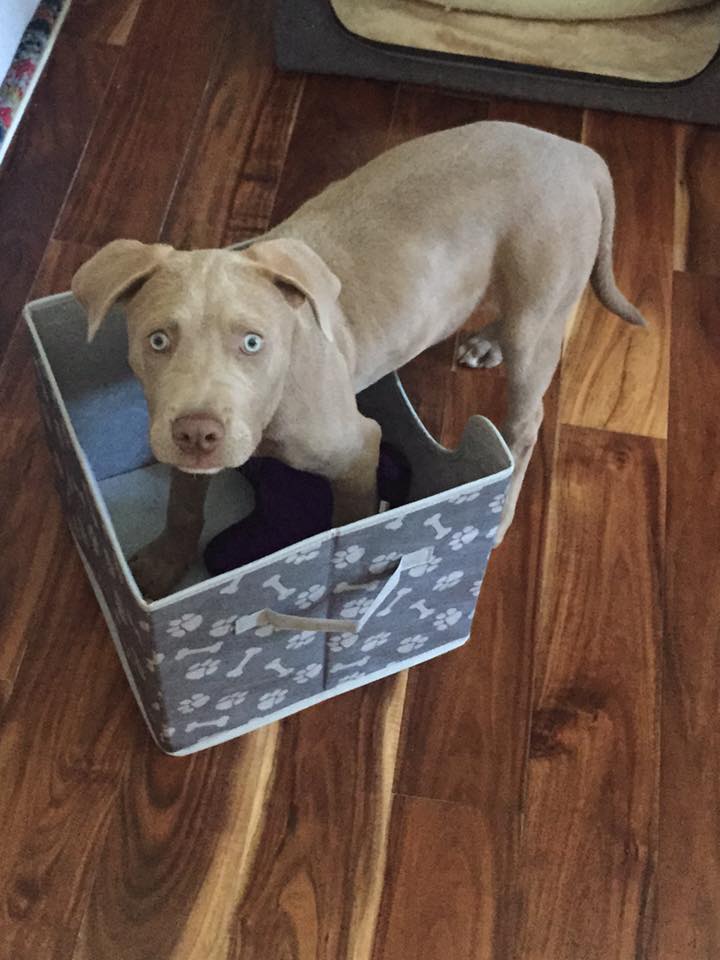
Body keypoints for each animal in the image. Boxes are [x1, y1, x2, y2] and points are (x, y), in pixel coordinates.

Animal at [73, 121, 644, 596]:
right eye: (157, 341)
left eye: (253, 343)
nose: (198, 433)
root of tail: (574, 152)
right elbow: (185, 502)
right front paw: (165, 562)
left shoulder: (357, 449)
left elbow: (347, 518)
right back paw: (487, 342)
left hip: (538, 304)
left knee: (525, 420)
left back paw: (500, 511)